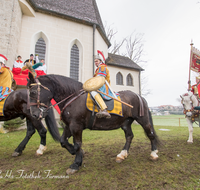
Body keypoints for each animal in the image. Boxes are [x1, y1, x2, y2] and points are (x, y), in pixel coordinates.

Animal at [27, 73, 159, 174]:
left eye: (33, 92)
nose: (33, 114)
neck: (73, 98)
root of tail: (139, 96)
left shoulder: (76, 126)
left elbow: (78, 144)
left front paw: (76, 164)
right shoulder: (69, 126)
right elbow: (63, 141)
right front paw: (74, 152)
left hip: (143, 120)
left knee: (151, 134)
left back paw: (154, 153)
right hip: (125, 123)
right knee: (129, 136)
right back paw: (122, 154)